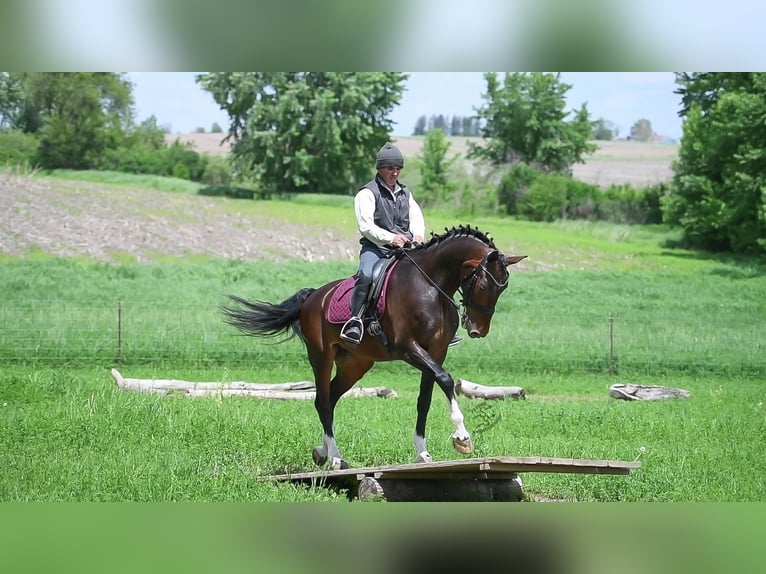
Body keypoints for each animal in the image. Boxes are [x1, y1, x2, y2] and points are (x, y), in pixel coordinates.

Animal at [222, 225, 528, 472]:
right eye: (484, 284)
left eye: (503, 287)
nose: (478, 330)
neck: (430, 286)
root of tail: (313, 297)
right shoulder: (409, 348)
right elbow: (446, 379)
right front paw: (462, 437)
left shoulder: (436, 351)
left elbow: (424, 400)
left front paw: (423, 453)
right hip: (321, 357)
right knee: (323, 400)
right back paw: (336, 458)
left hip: (355, 364)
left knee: (329, 398)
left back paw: (322, 452)